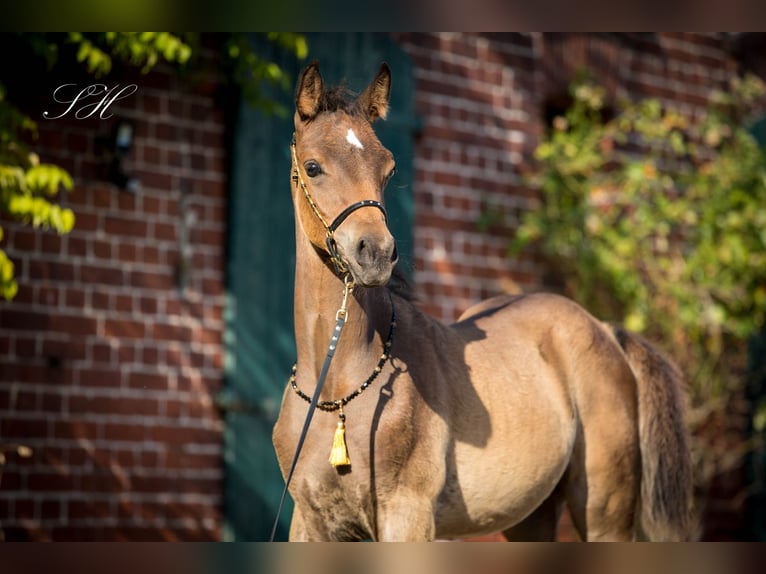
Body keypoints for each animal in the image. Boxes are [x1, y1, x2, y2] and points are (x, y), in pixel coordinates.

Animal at [272, 63, 696, 544]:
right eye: (313, 167)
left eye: (389, 168)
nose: (375, 253)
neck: (337, 393)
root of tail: (605, 331)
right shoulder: (309, 522)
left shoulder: (407, 515)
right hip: (532, 516)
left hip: (606, 512)